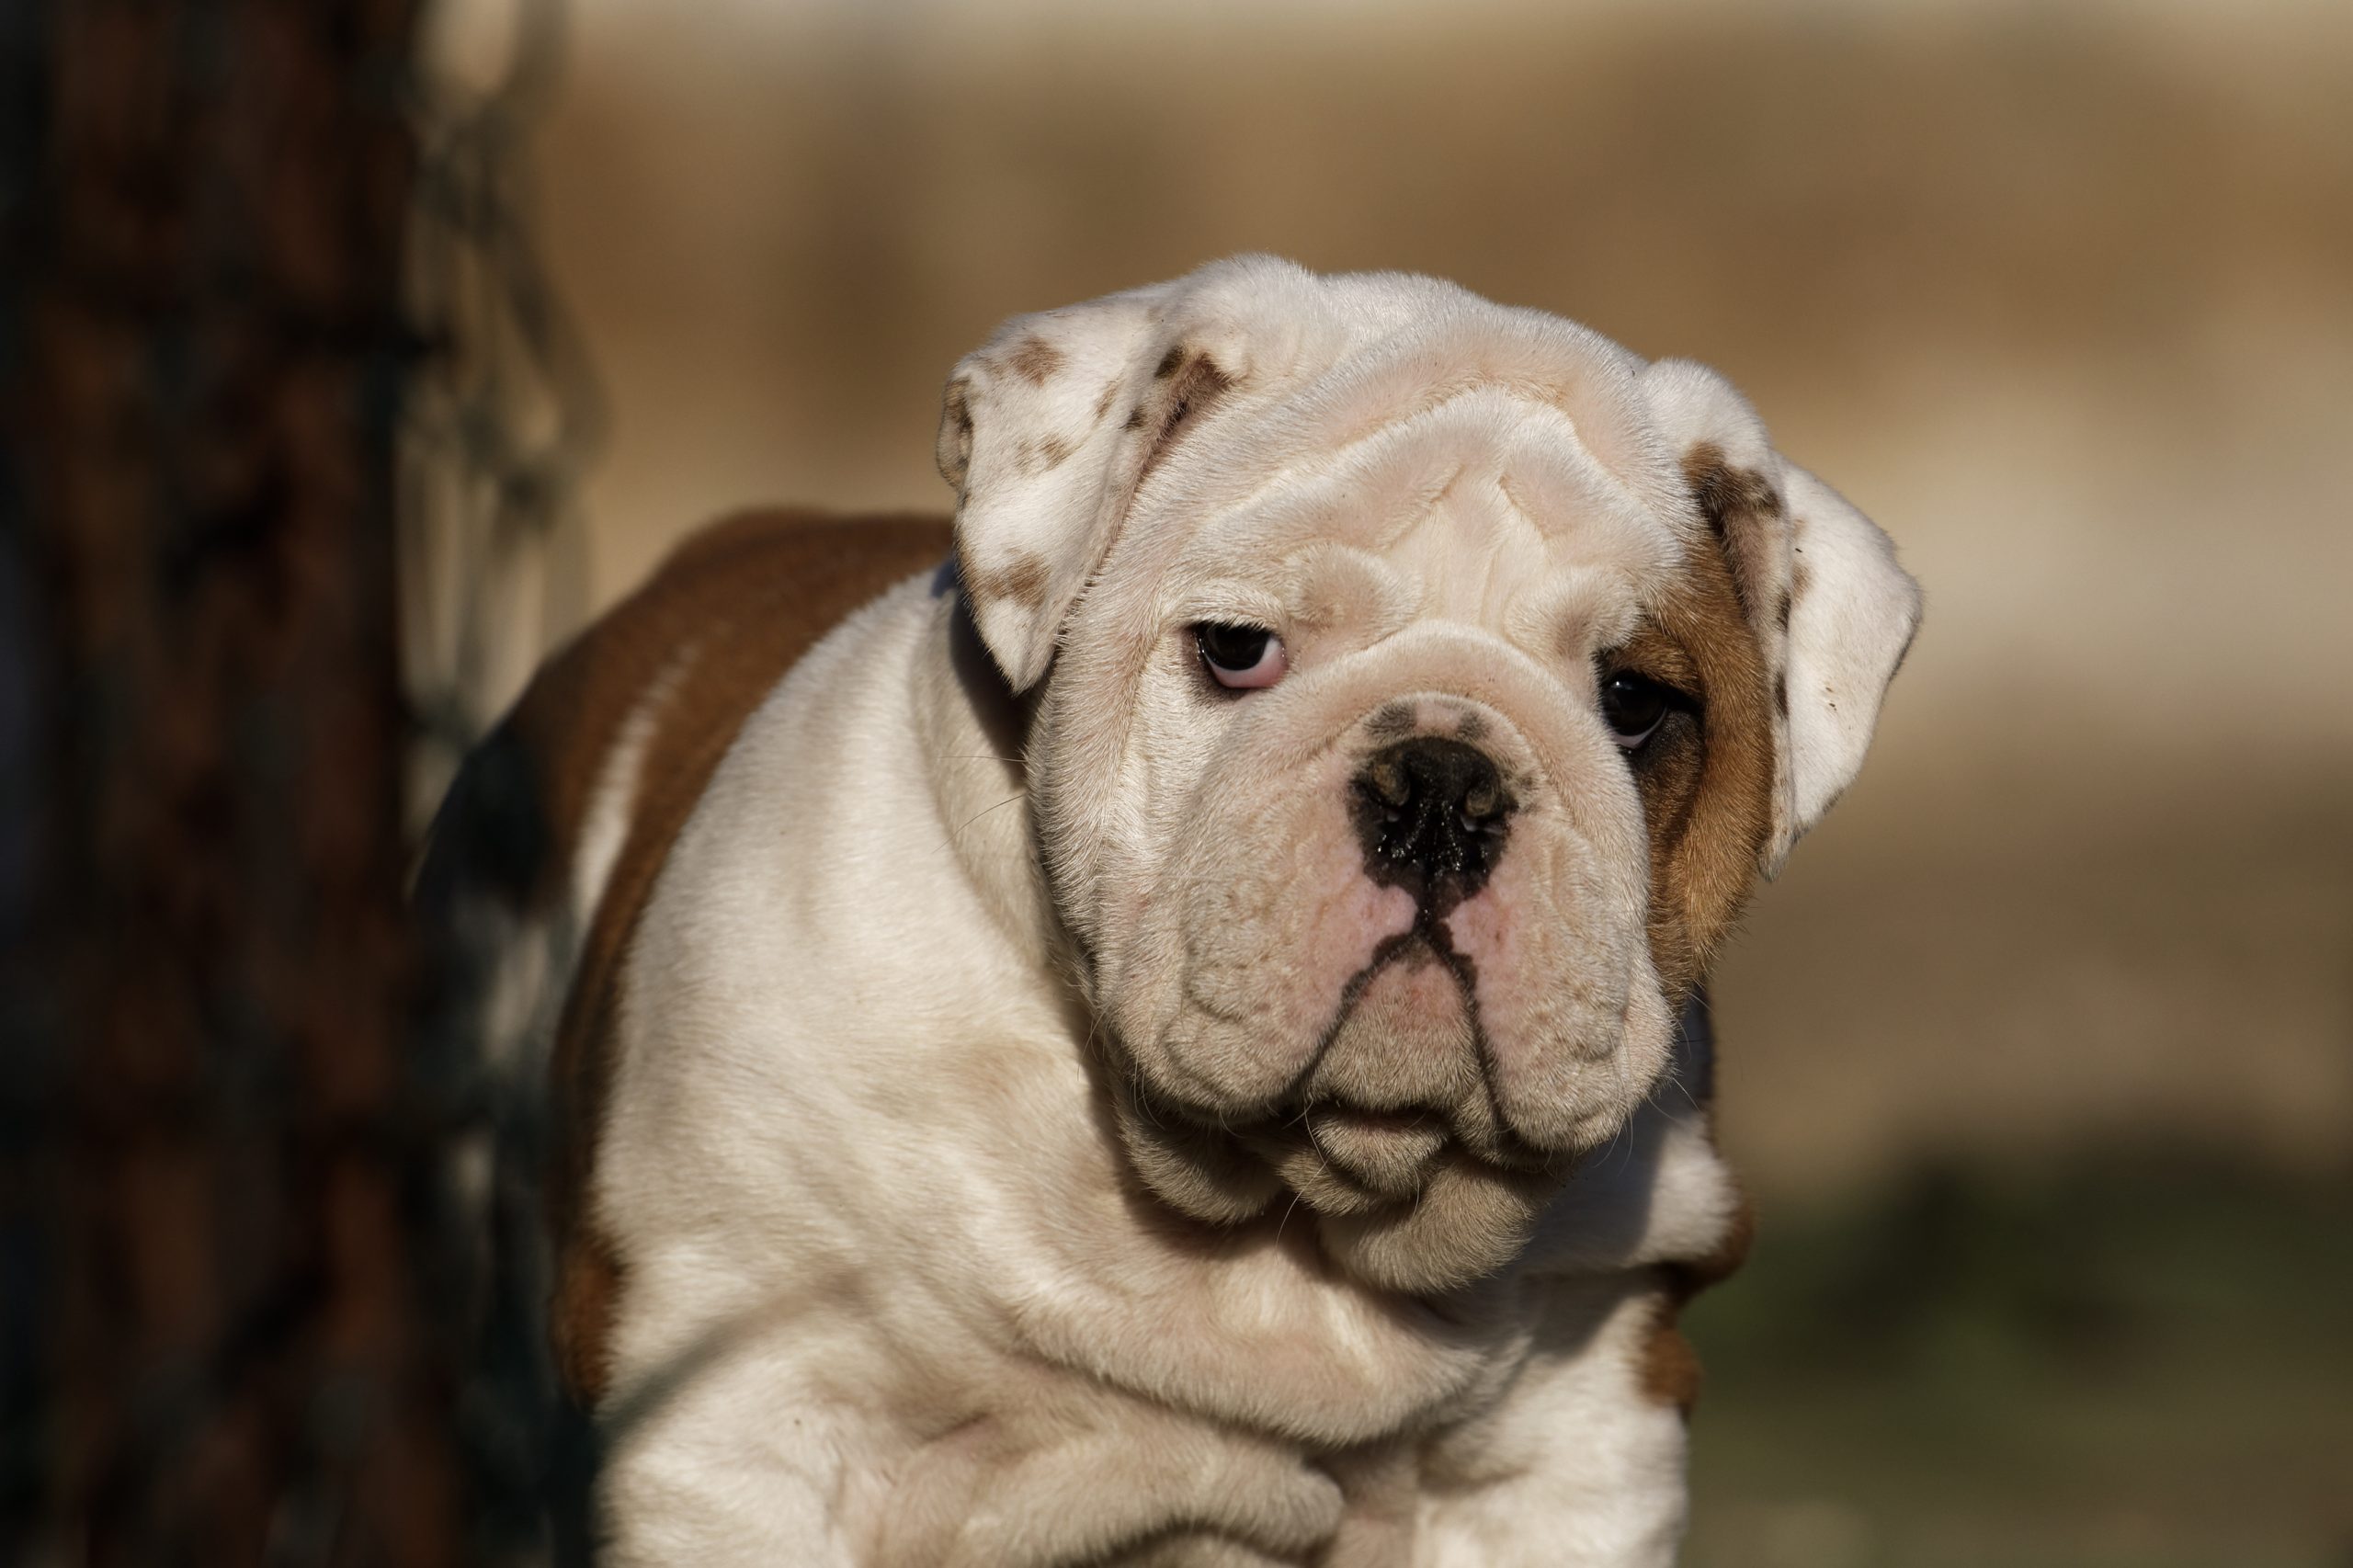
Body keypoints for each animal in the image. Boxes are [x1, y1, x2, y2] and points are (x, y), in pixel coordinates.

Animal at [433, 253, 1919, 1553]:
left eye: (1634, 702)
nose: (1443, 786)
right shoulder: (733, 1413)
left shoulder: (1581, 1441)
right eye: (1237, 650)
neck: (1279, 1209)